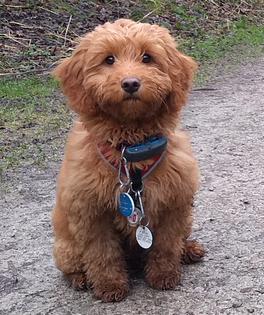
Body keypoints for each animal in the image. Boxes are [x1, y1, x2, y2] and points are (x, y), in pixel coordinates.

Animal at [51, 17, 204, 304]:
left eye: (147, 57)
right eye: (109, 59)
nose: (131, 83)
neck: (130, 150)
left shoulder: (174, 203)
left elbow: (167, 245)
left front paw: (164, 276)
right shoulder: (91, 214)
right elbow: (102, 254)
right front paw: (110, 286)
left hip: (187, 218)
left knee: (180, 240)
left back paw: (189, 249)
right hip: (66, 247)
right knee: (71, 266)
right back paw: (80, 279)